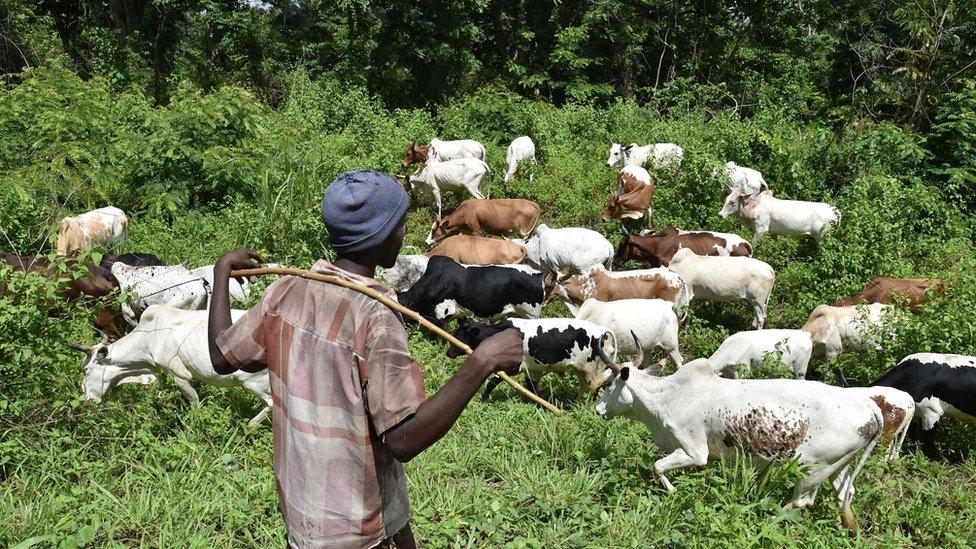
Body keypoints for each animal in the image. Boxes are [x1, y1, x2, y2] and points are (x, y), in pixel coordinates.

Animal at [75, 306, 271, 426]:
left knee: (270, 404)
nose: (87, 399)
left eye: (85, 369)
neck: (150, 336)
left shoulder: (179, 374)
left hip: (254, 382)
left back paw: (250, 425)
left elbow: (194, 402)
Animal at [447, 317, 616, 398]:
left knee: (596, 384)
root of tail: (601, 330)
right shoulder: (533, 369)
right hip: (582, 369)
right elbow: (532, 388)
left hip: (589, 369)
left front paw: (484, 399)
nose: (448, 353)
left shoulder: (513, 366)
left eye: (458, 335)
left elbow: (492, 382)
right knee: (585, 386)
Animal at [595, 347, 883, 535]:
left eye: (609, 383)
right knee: (845, 493)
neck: (669, 395)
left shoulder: (694, 452)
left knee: (801, 501)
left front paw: (674, 493)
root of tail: (868, 405)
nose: (598, 409)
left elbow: (657, 467)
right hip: (838, 466)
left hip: (811, 468)